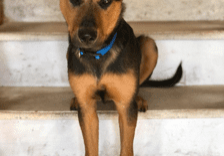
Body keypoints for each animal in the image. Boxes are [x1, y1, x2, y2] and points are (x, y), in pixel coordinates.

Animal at [59, 0, 182, 155]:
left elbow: (126, 149)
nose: (86, 36)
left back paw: (138, 99)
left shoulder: (125, 107)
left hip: (150, 45)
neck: (97, 53)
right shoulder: (87, 110)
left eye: (105, 2)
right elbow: (91, 148)